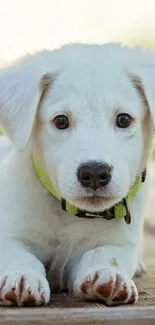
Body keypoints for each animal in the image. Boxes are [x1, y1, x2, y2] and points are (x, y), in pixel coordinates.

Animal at [0, 42, 154, 304]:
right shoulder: (10, 233)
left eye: (124, 119)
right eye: (61, 121)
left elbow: (104, 253)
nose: (94, 173)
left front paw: (108, 273)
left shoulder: (120, 244)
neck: (69, 215)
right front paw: (21, 276)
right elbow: (18, 254)